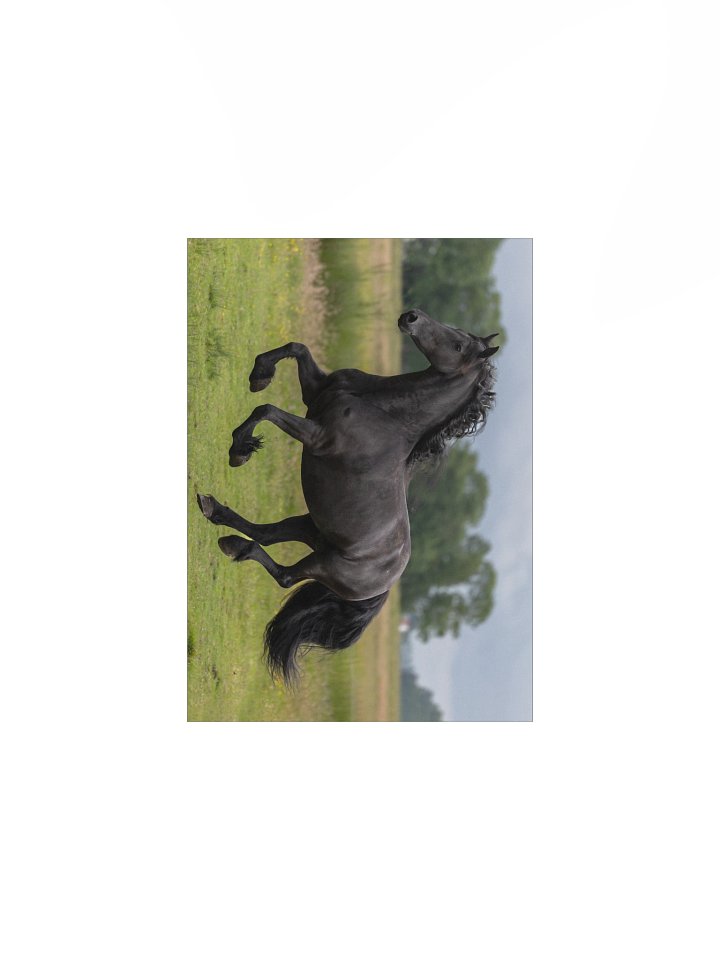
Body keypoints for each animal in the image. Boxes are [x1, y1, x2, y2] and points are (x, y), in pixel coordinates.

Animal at [196, 308, 498, 685]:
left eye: (458, 346)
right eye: (457, 331)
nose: (411, 317)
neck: (385, 410)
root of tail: (386, 585)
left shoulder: (316, 435)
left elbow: (265, 409)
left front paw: (240, 450)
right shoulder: (315, 393)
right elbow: (296, 348)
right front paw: (259, 375)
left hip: (325, 563)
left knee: (283, 573)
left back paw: (235, 545)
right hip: (311, 528)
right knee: (266, 534)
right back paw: (216, 514)